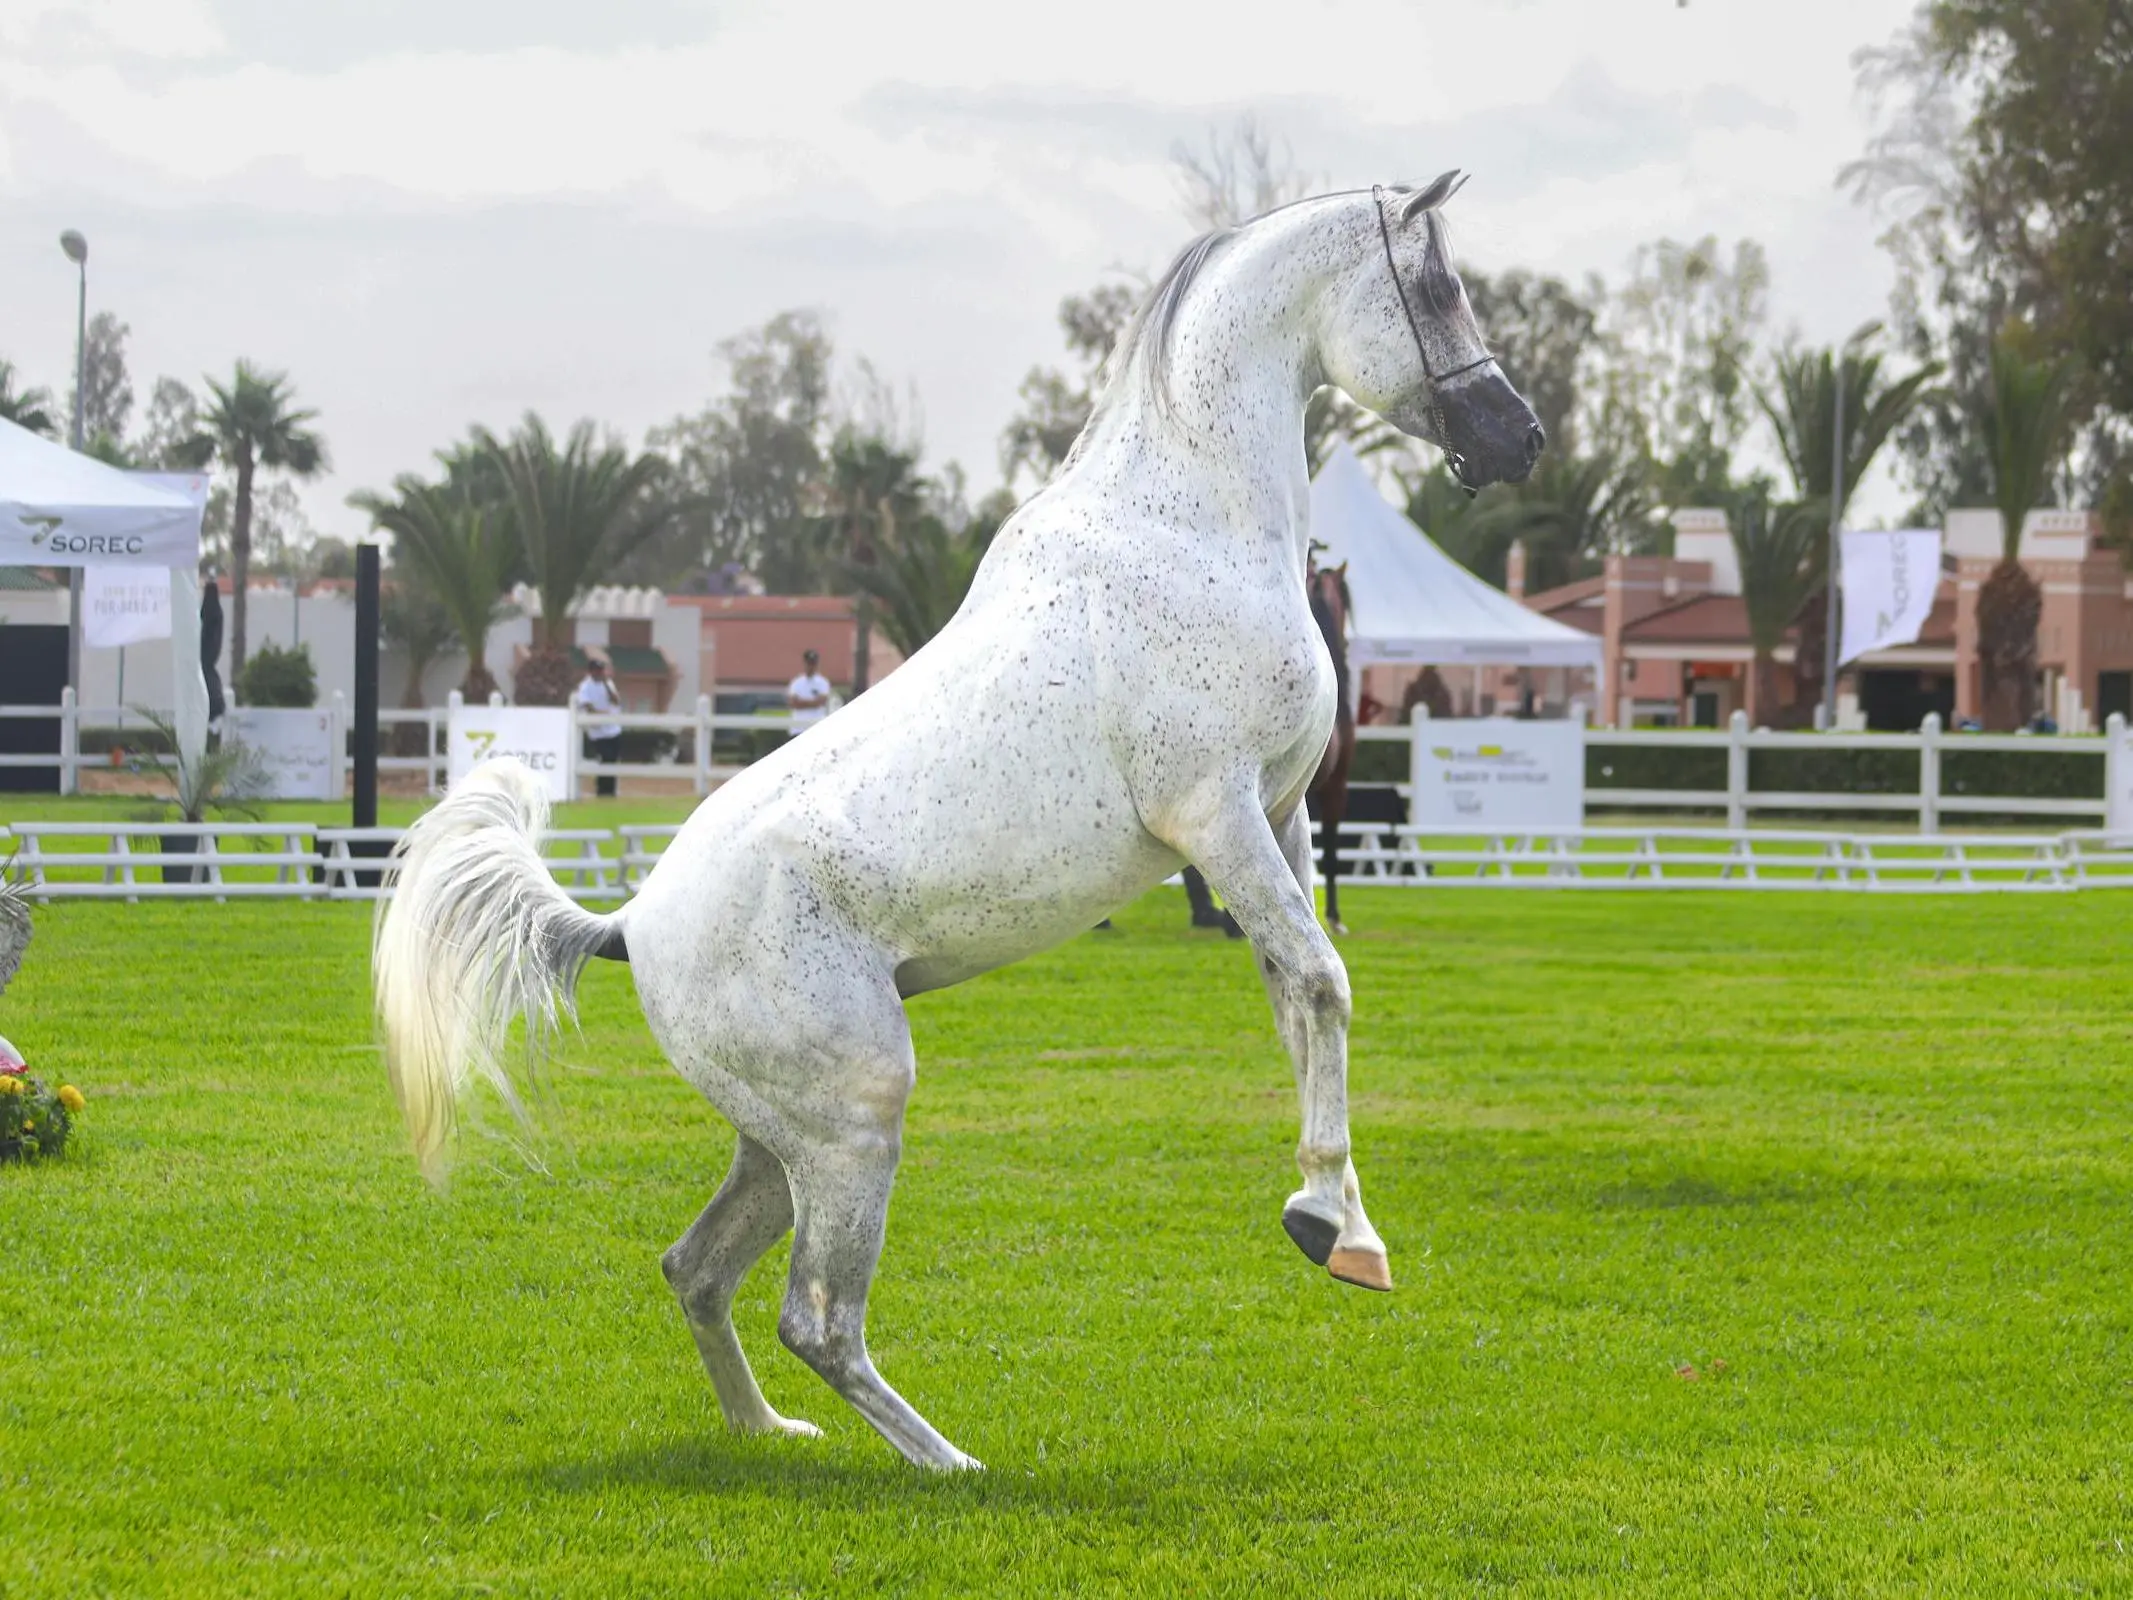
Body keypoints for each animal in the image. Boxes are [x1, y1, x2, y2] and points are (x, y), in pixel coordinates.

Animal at [375, 172, 1544, 1467]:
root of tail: (630, 922)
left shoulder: (1281, 817)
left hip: (784, 1138)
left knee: (697, 1270)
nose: (1519, 436)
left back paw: (770, 1432)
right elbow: (1325, 983)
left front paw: (1338, 1218)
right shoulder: (1218, 817)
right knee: (814, 1316)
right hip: (857, 1114)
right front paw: (1332, 1229)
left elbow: (1299, 998)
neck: (1186, 526)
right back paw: (948, 1462)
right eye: (1434, 286)